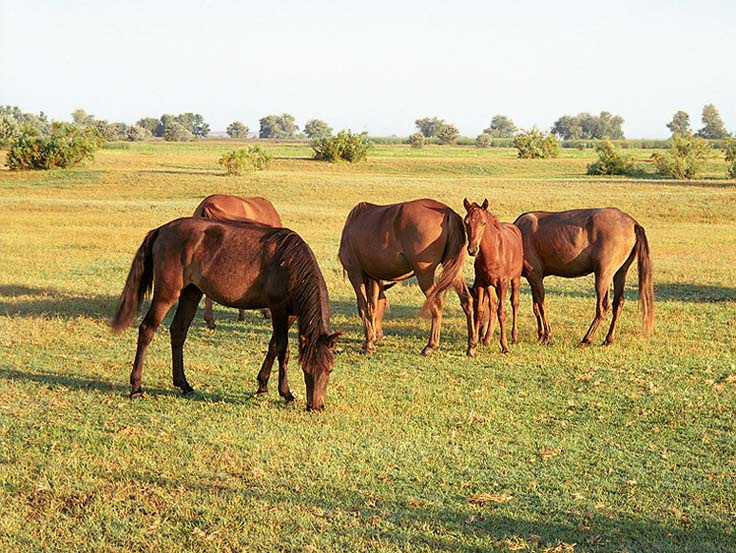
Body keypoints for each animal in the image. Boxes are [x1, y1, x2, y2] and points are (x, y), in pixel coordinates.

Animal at [111, 217, 340, 410]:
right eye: (306, 369)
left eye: (329, 369)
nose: (316, 406)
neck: (290, 263)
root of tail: (161, 230)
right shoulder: (278, 309)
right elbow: (283, 350)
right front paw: (286, 393)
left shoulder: (291, 314)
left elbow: (274, 346)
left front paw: (262, 386)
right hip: (166, 294)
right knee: (146, 331)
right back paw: (136, 388)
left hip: (191, 293)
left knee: (178, 332)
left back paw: (184, 384)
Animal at [338, 198, 474, 356]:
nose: (380, 335)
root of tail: (447, 212)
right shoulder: (374, 277)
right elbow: (372, 306)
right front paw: (370, 340)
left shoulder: (355, 274)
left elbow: (363, 308)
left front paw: (369, 344)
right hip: (453, 270)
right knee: (467, 300)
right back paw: (471, 346)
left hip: (424, 274)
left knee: (436, 304)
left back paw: (430, 346)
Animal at [463, 199, 523, 355]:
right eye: (466, 222)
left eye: (483, 222)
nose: (472, 249)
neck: (493, 252)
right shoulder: (481, 283)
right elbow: (480, 312)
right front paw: (472, 346)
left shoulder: (503, 283)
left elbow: (502, 312)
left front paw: (505, 346)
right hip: (491, 285)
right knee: (493, 304)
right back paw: (487, 338)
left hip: (515, 279)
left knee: (514, 303)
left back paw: (514, 337)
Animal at [513, 207, 654, 346]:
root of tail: (633, 223)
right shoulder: (533, 279)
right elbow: (536, 307)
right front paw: (541, 334)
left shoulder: (535, 276)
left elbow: (542, 306)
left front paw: (547, 336)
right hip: (620, 273)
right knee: (618, 304)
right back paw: (608, 339)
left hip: (603, 274)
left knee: (603, 307)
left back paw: (586, 339)